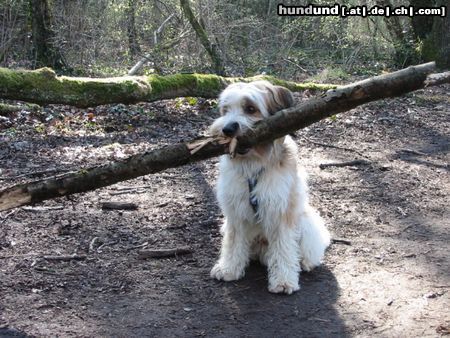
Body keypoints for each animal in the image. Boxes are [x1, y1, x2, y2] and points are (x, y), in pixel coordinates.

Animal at [208, 80, 330, 294]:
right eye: (225, 110)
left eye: (250, 109)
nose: (228, 129)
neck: (254, 164)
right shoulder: (235, 211)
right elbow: (233, 241)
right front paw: (228, 268)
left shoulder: (280, 209)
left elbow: (283, 246)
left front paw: (283, 280)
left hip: (307, 222)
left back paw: (304, 262)